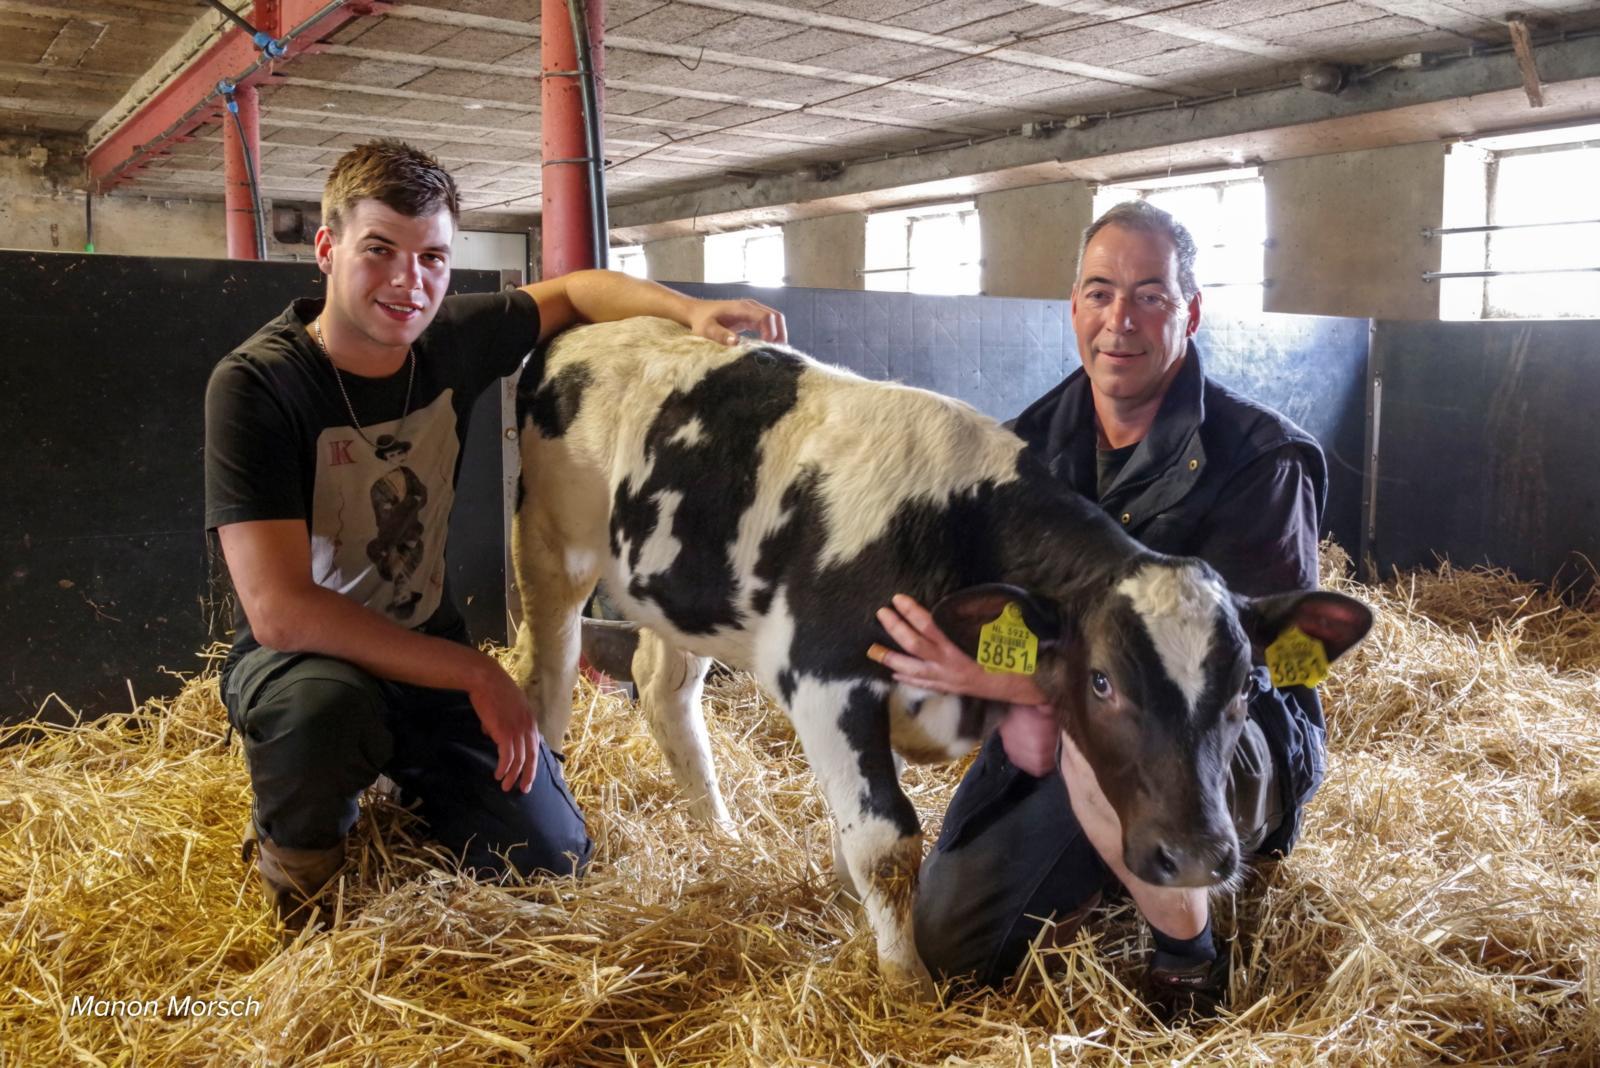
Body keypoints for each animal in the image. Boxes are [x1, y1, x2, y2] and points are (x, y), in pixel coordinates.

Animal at [508, 319, 1363, 991]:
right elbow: (884, 841)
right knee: (544, 677)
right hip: (554, 550)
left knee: (662, 690)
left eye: (1248, 689)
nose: (1194, 857)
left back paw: (719, 831)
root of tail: (577, 335)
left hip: (681, 590)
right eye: (1103, 681)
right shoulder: (828, 677)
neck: (954, 518)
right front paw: (905, 982)